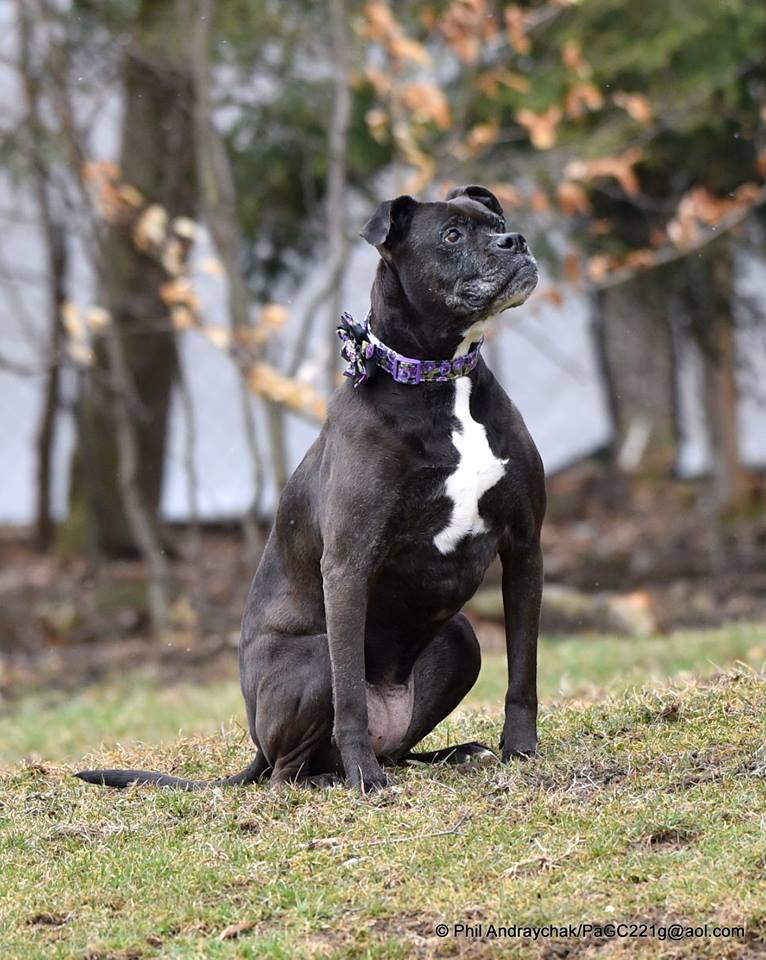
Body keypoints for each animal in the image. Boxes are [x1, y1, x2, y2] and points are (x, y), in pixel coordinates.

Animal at [78, 184, 544, 792]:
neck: (441, 382)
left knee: (394, 748)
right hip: (314, 660)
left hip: (461, 638)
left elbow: (524, 669)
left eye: (496, 222)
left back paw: (457, 753)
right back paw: (339, 776)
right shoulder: (347, 564)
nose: (516, 241)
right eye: (451, 236)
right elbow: (349, 696)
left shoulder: (525, 544)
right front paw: (366, 782)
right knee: (288, 769)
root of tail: (255, 743)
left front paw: (521, 751)